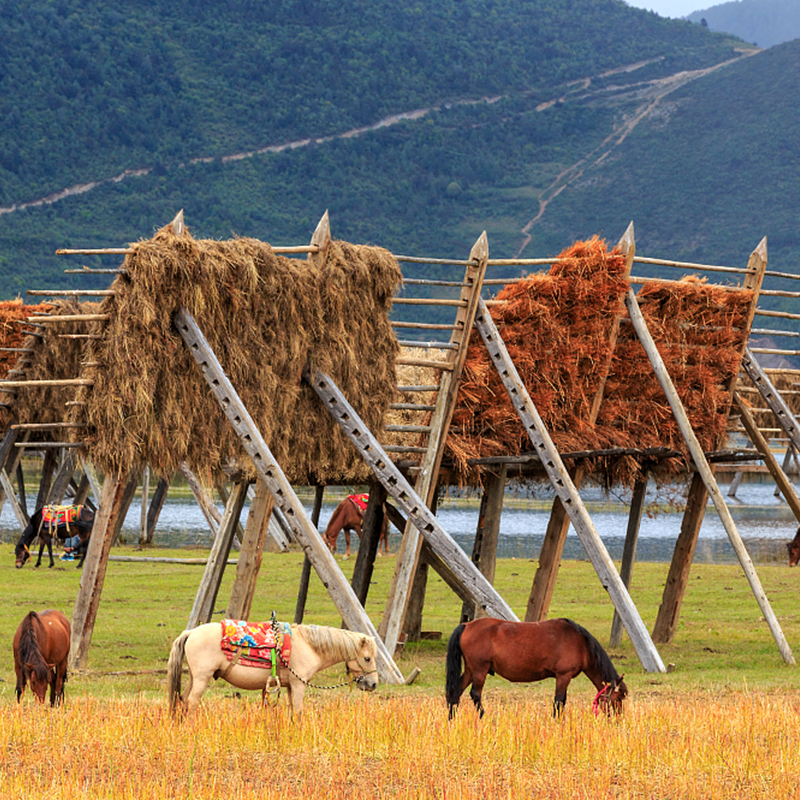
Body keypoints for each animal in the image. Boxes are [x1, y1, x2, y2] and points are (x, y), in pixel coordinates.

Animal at [165, 620, 378, 720]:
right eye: (367, 658)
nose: (374, 684)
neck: (308, 645)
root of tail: (191, 632)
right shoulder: (299, 684)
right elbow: (298, 711)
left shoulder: (291, 686)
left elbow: (293, 711)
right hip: (202, 678)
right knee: (192, 701)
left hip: (194, 677)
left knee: (182, 699)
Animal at [444, 616, 624, 720]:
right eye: (619, 698)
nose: (618, 720)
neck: (580, 643)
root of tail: (466, 625)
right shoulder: (563, 676)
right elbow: (559, 701)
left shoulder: (564, 678)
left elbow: (562, 701)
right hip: (479, 670)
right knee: (475, 694)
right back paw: (483, 716)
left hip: (470, 670)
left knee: (456, 692)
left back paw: (452, 718)